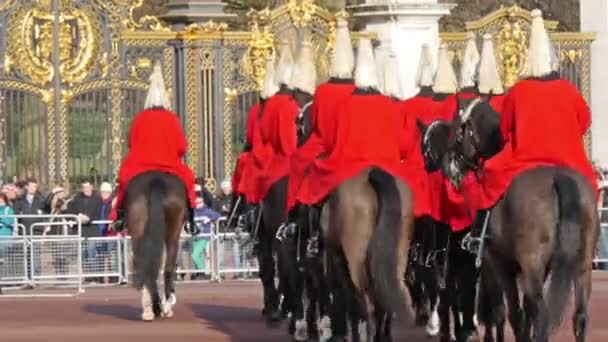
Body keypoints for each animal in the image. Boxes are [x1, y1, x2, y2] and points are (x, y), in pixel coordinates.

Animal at [318, 167, 414, 340]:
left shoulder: (337, 260)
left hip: (356, 262)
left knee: (367, 304)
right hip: (397, 257)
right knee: (386, 298)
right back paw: (382, 336)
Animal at [454, 98, 596, 342]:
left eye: (460, 132)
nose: (456, 167)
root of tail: (560, 178)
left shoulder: (496, 263)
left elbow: (508, 313)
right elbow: (525, 312)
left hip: (529, 265)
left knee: (542, 315)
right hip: (582, 266)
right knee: (579, 317)